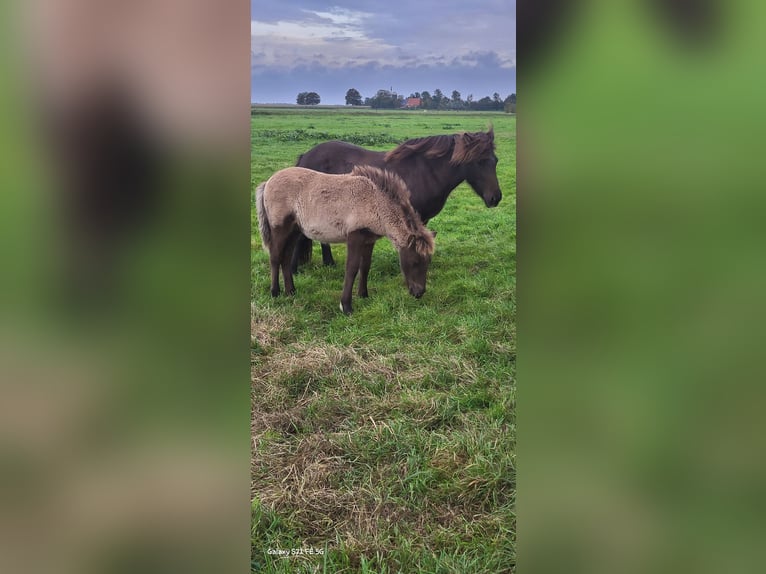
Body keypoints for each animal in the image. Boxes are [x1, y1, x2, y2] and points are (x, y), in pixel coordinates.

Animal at [292, 129, 500, 274]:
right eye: (479, 161)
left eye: (495, 160)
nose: (496, 198)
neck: (425, 171)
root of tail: (305, 157)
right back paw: (296, 270)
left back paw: (328, 263)